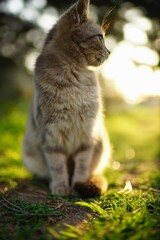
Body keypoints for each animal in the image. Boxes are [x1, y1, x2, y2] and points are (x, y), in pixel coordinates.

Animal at [23, 0, 112, 199]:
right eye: (100, 38)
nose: (109, 52)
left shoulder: (87, 136)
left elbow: (81, 168)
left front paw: (77, 186)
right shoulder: (51, 137)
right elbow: (57, 167)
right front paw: (61, 188)